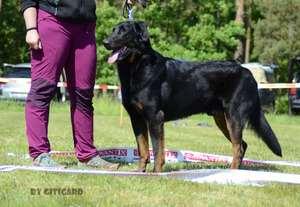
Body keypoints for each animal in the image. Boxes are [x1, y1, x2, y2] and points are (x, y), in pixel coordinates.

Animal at [102, 21, 282, 173]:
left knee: (238, 147)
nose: (105, 42)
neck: (136, 67)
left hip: (234, 116)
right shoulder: (136, 118)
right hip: (222, 119)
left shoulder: (155, 117)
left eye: (124, 31)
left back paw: (231, 172)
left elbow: (158, 150)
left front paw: (156, 173)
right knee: (242, 145)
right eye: (113, 30)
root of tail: (247, 72)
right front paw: (140, 172)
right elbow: (143, 149)